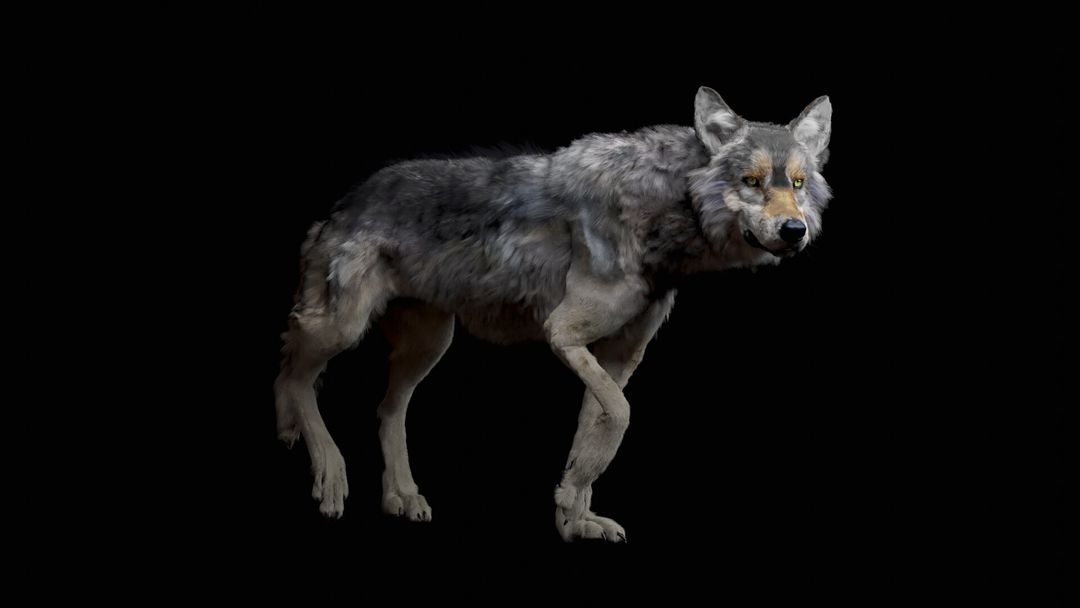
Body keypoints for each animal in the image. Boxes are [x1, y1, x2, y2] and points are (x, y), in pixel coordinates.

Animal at [274, 87, 833, 541]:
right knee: (293, 368)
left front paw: (576, 516)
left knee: (386, 408)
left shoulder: (619, 358)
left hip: (430, 346)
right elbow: (621, 416)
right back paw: (325, 468)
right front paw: (573, 498)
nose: (794, 231)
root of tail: (345, 202)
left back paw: (401, 495)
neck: (662, 211)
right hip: (345, 328)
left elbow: (596, 426)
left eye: (798, 184)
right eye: (751, 181)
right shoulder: (562, 333)